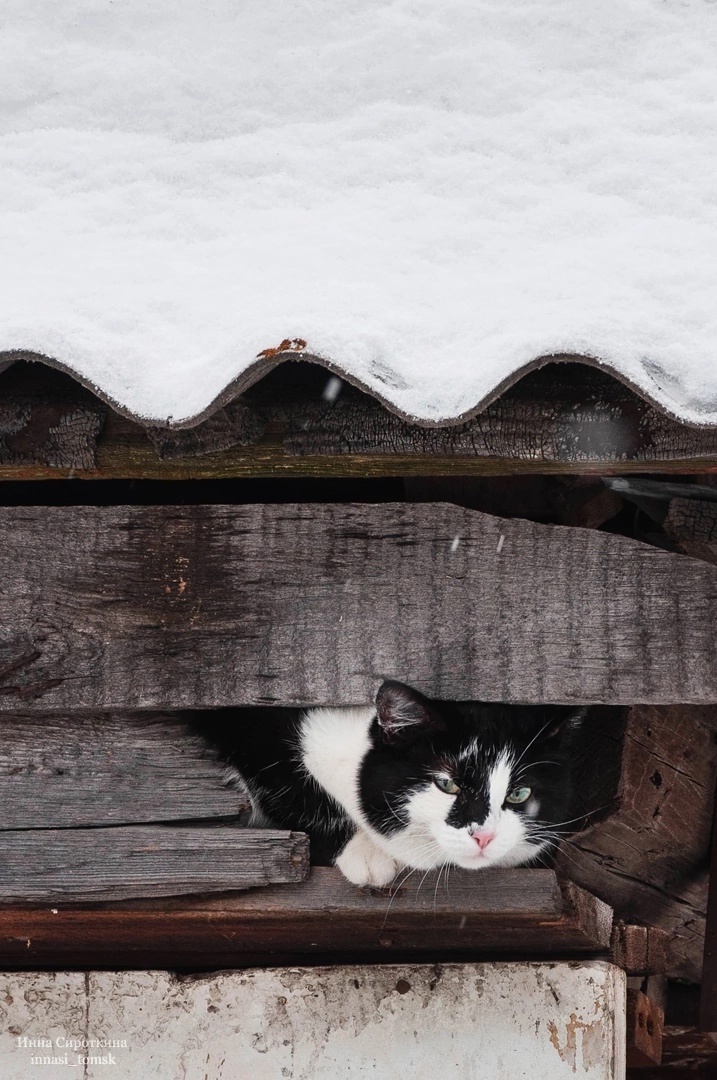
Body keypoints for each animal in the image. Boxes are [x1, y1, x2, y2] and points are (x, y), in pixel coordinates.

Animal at [195, 680, 586, 887]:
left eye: (519, 793)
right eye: (447, 784)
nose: (484, 836)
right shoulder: (260, 731)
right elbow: (297, 790)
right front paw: (366, 852)